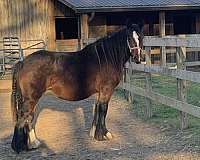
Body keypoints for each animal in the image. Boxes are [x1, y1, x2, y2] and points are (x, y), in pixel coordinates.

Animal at [10, 22, 143, 152]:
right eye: (129, 38)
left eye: (140, 38)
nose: (138, 59)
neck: (107, 58)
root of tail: (22, 63)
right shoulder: (106, 90)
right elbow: (103, 110)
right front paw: (103, 135)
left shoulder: (99, 92)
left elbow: (97, 109)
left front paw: (94, 133)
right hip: (32, 98)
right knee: (24, 116)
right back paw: (19, 147)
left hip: (33, 98)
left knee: (29, 117)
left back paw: (33, 143)